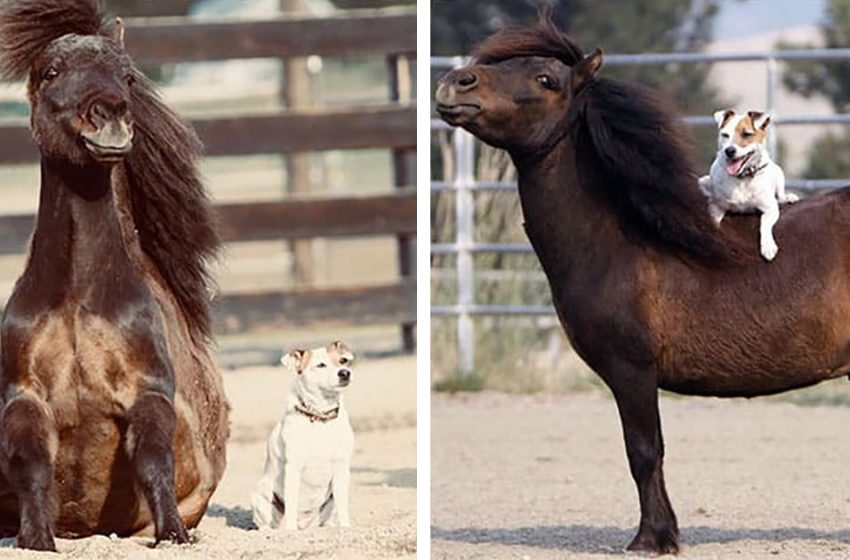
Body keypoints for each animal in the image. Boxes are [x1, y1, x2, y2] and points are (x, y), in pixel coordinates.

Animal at [0, 0, 229, 552]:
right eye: (51, 72)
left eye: (126, 76)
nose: (110, 113)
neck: (79, 297)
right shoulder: (24, 395)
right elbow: (31, 464)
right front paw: (35, 539)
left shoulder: (148, 390)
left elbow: (154, 458)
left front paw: (173, 535)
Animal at [252, 342, 358, 528]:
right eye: (321, 365)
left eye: (343, 361)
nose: (345, 373)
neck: (320, 416)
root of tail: (305, 524)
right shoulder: (294, 468)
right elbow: (292, 503)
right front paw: (291, 531)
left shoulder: (341, 467)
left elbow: (343, 506)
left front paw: (346, 528)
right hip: (260, 497)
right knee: (267, 523)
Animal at [696, 110, 796, 262]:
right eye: (725, 134)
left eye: (747, 134)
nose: (729, 150)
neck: (742, 178)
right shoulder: (716, 207)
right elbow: (714, 222)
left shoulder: (770, 208)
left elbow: (764, 224)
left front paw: (768, 246)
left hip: (779, 174)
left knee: (780, 195)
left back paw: (789, 197)